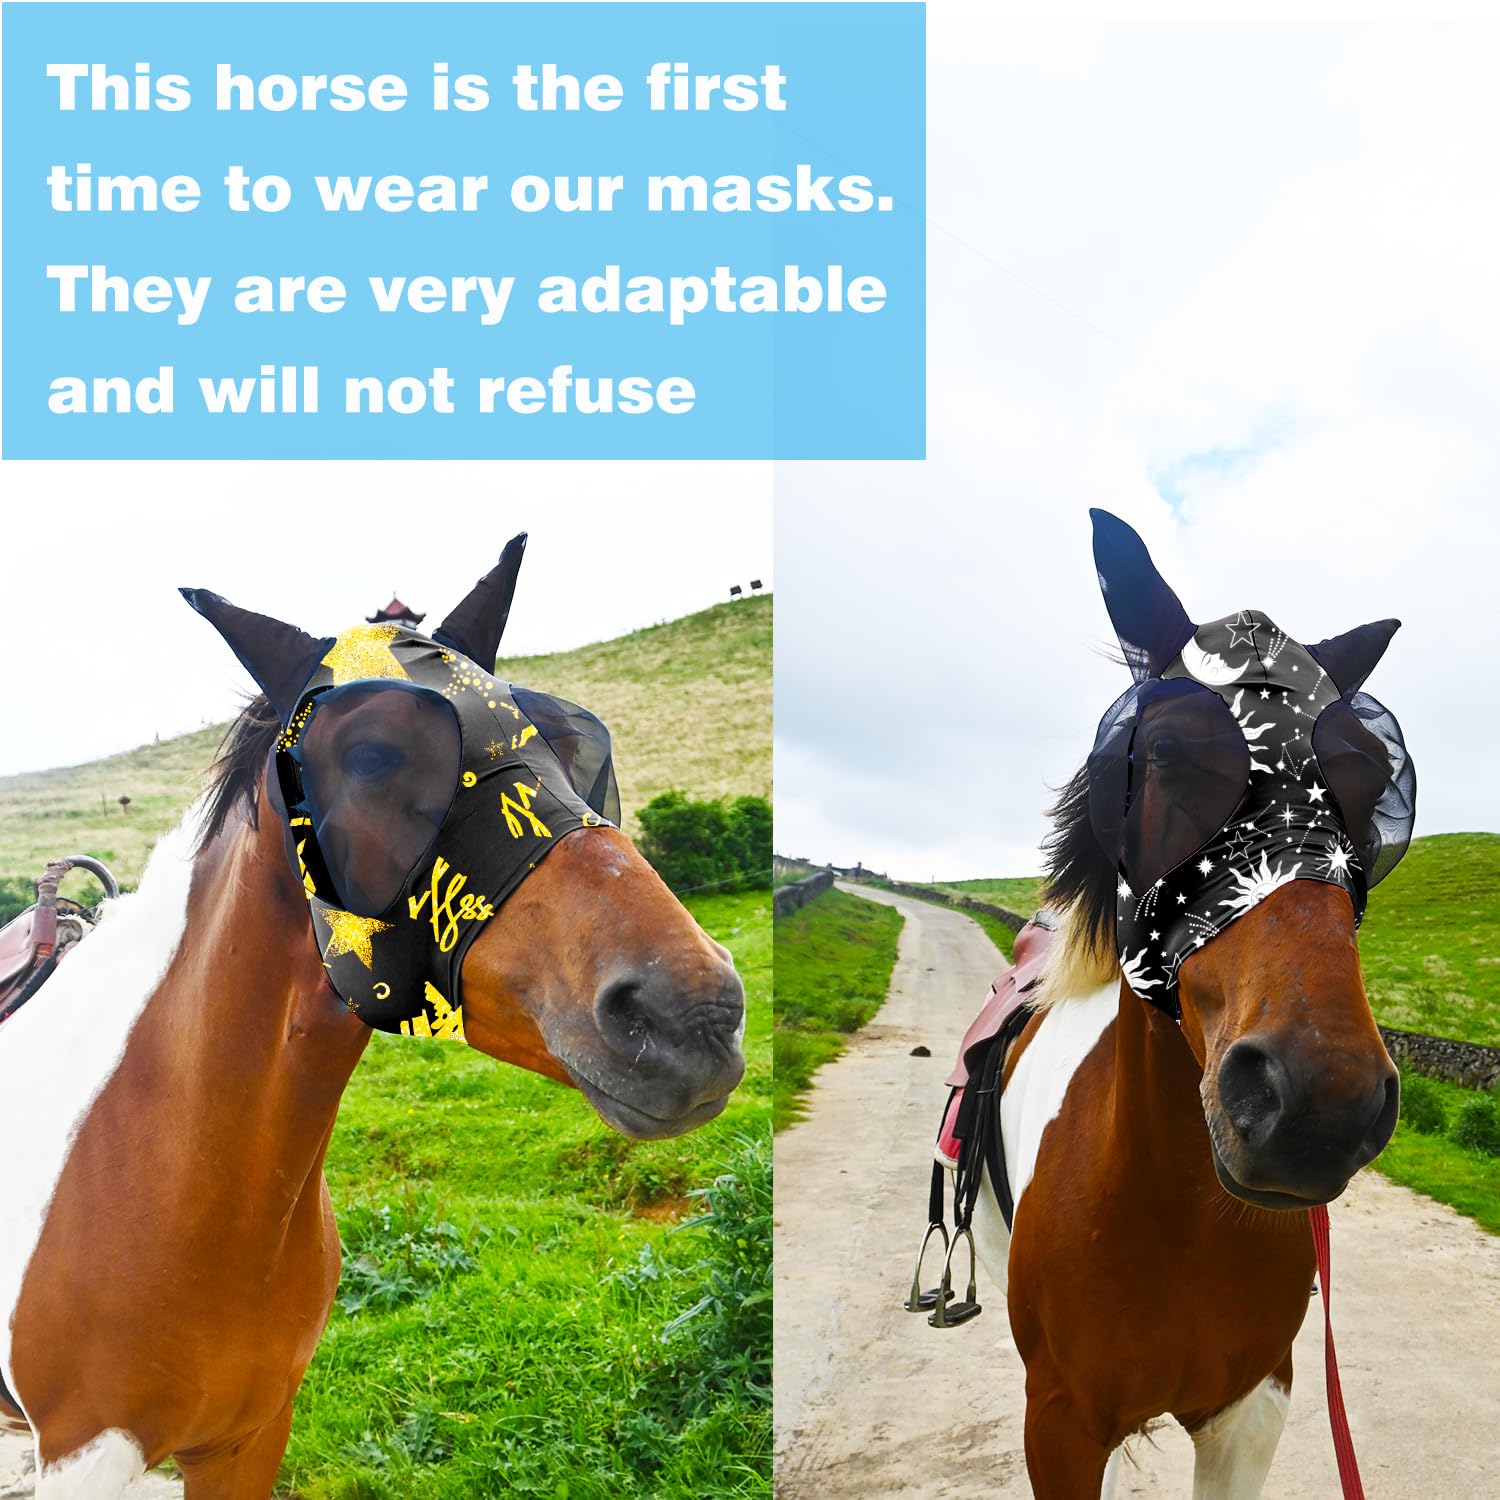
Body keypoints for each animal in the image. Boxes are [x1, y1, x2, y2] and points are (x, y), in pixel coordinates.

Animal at [968, 510, 1414, 1499]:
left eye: (1371, 782)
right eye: (1171, 755)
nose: (1320, 1102)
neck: (1175, 1214)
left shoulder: (1252, 1409)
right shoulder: (1059, 1426)